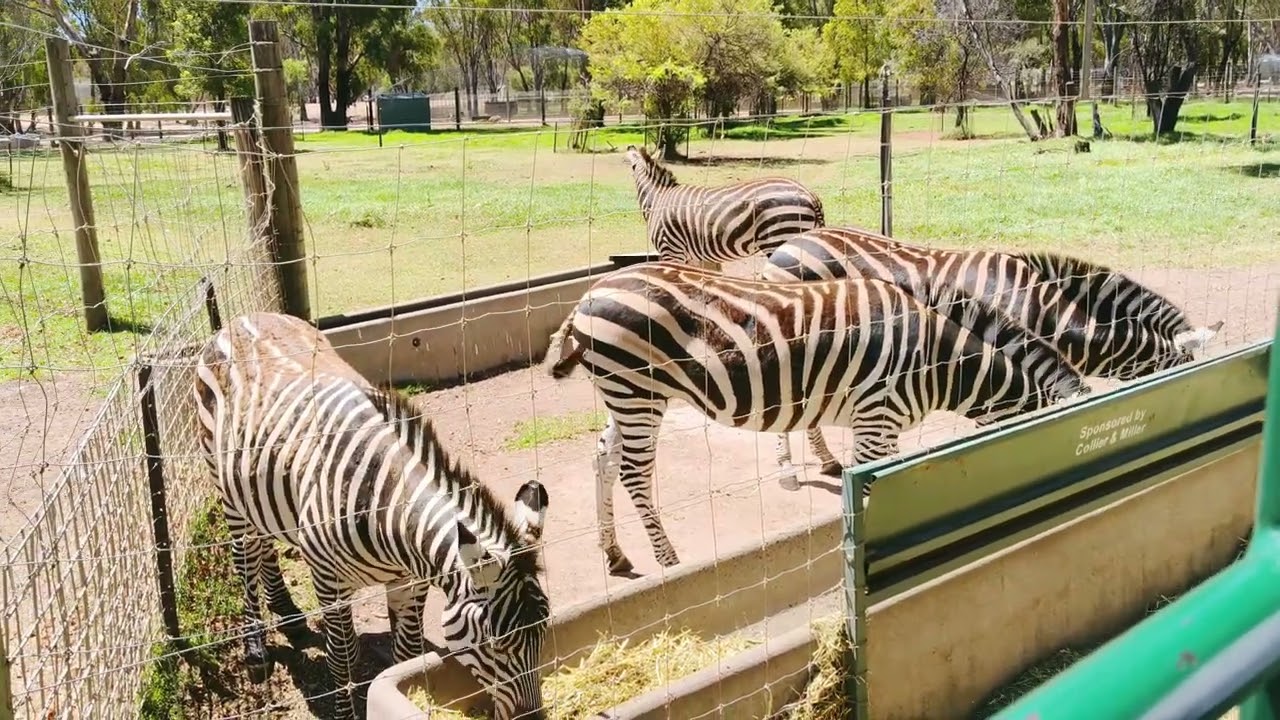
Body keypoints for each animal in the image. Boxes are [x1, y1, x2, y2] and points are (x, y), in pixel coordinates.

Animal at [193, 312, 551, 720]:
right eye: (495, 643)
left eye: (544, 632)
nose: (533, 717)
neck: (388, 514)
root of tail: (242, 318)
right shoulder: (328, 582)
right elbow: (343, 658)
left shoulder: (410, 582)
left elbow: (407, 651)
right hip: (227, 491)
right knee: (245, 559)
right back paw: (256, 652)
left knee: (265, 546)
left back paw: (290, 616)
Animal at [541, 261, 1089, 574]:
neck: (937, 360)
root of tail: (589, 295)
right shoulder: (876, 416)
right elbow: (863, 490)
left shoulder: (885, 426)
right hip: (639, 391)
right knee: (634, 472)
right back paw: (669, 560)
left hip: (625, 395)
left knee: (603, 459)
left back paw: (615, 554)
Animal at [760, 226, 1224, 482]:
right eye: (1183, 379)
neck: (1043, 309)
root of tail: (790, 243)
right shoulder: (996, 364)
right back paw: (790, 469)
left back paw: (825, 461)